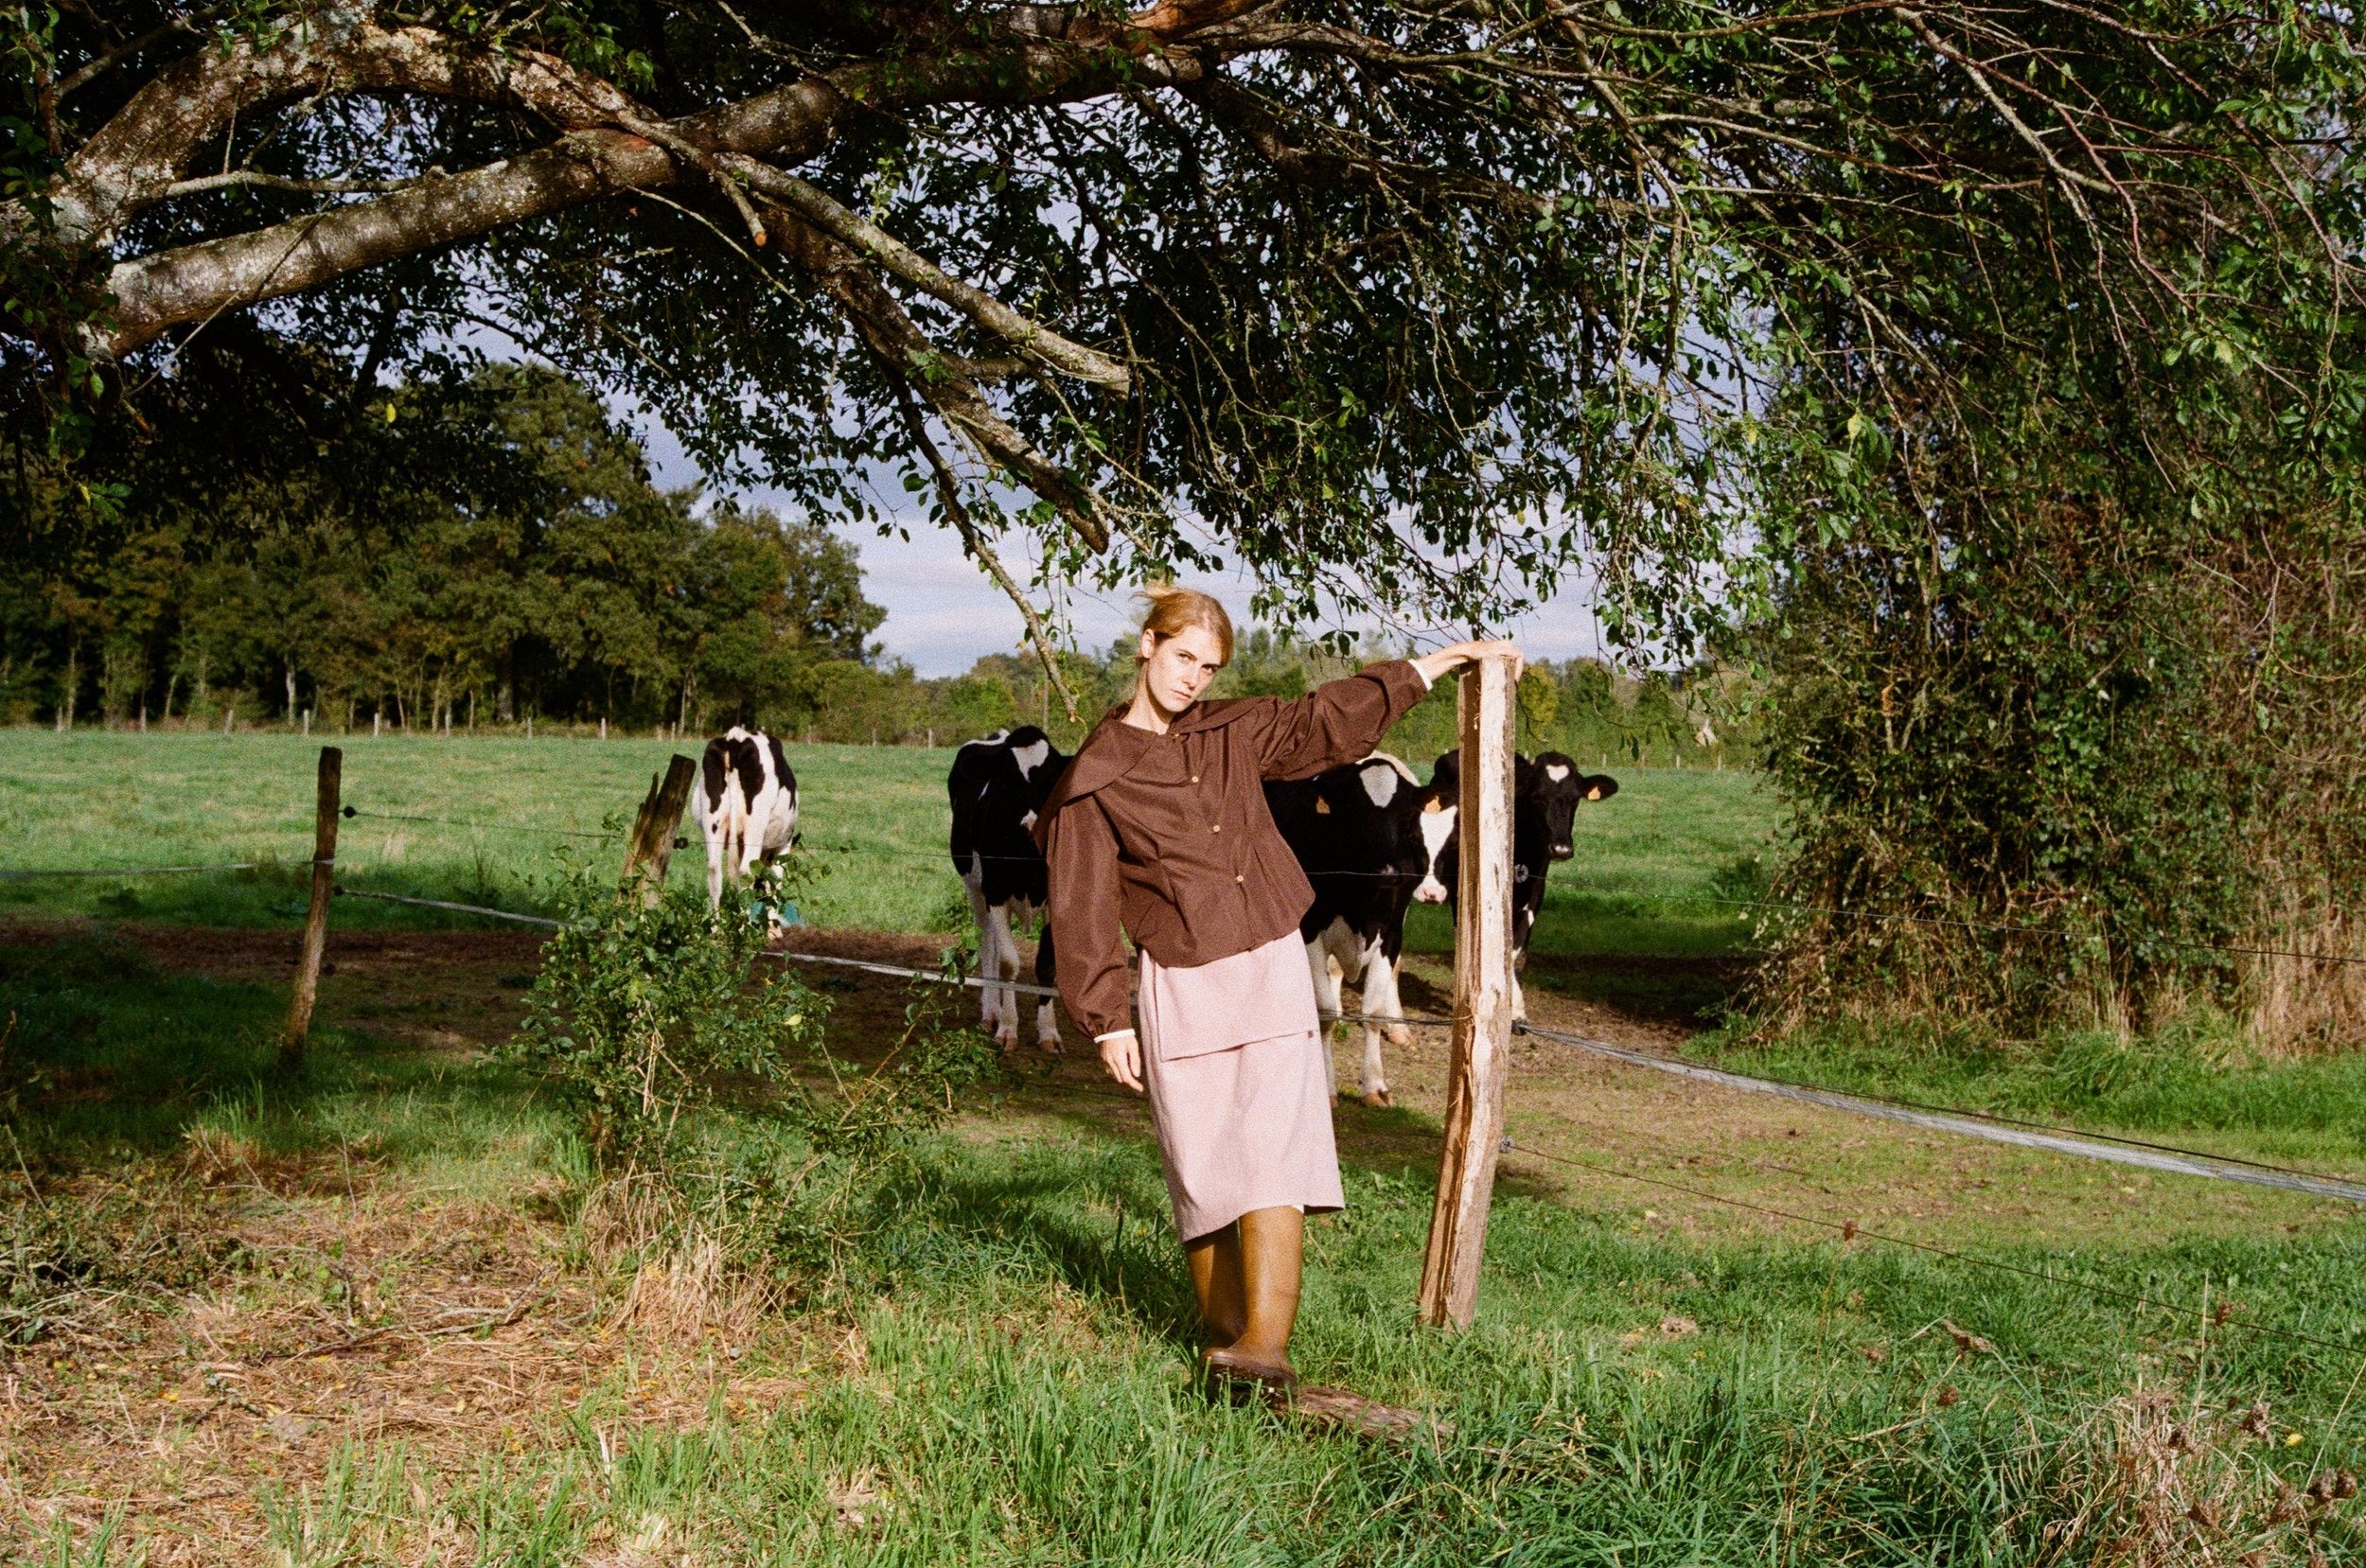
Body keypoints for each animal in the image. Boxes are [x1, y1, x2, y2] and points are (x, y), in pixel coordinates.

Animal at [691, 728, 804, 926]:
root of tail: (735, 738)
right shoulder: (783, 845)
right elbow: (776, 882)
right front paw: (772, 924)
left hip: (713, 823)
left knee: (714, 870)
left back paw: (716, 927)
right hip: (755, 825)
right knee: (745, 872)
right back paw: (744, 927)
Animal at [946, 732, 1069, 1054]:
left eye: (1051, 779)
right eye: (1007, 779)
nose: (1032, 824)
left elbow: (1046, 966)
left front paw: (1049, 1032)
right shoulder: (996, 893)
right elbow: (1008, 962)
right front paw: (1007, 1028)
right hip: (975, 889)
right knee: (988, 943)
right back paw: (991, 1012)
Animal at [1268, 756, 1448, 1111]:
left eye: (1407, 817)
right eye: (1355, 813)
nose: (1388, 873)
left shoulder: (1391, 935)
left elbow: (1373, 1013)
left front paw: (1375, 1086)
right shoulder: (1308, 931)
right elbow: (1325, 1011)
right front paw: (1327, 1088)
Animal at [1420, 756, 1628, 1026]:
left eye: (1575, 798)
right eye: (1537, 797)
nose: (1561, 849)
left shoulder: (1536, 893)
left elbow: (1515, 954)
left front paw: (1516, 1012)